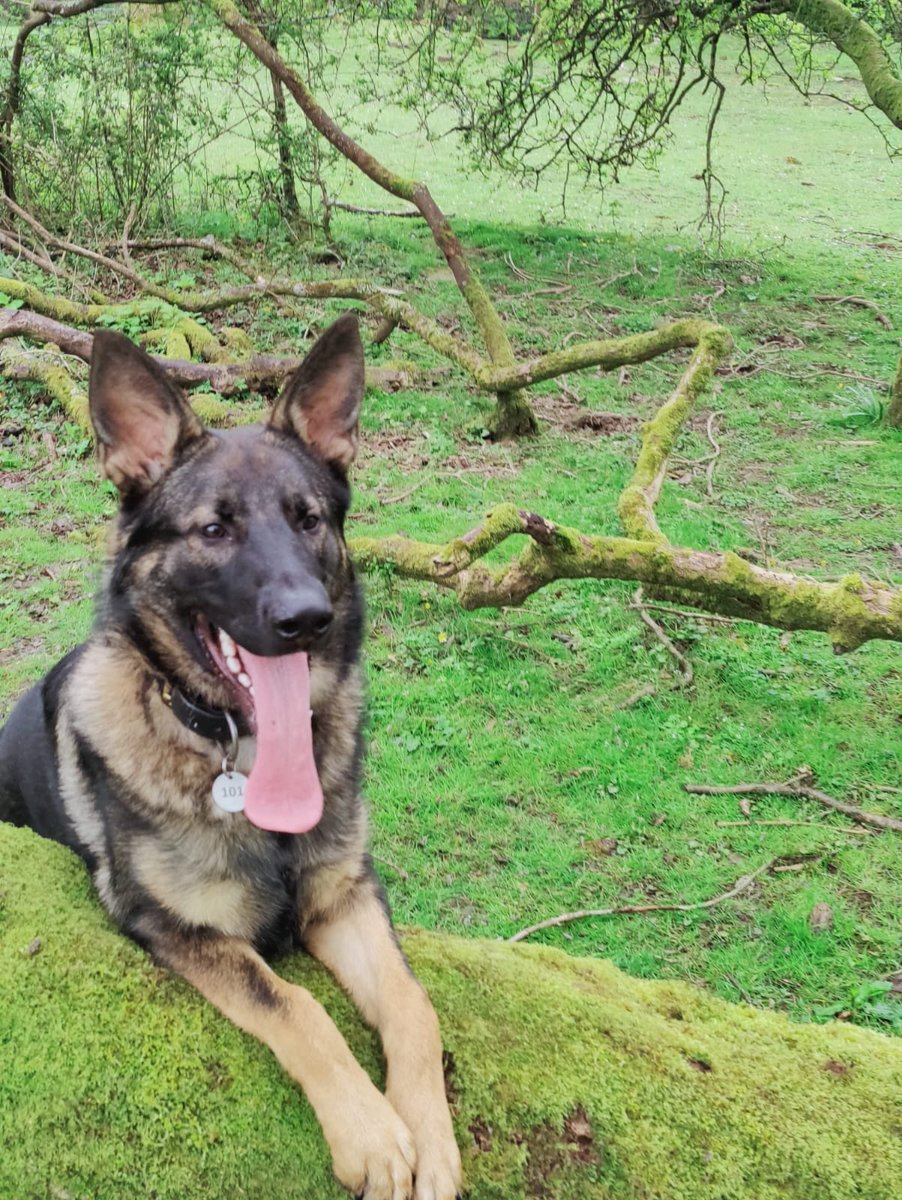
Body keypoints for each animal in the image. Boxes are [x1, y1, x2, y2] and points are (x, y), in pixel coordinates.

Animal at [0, 316, 460, 1200]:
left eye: (309, 519)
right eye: (214, 530)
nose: (306, 619)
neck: (241, 756)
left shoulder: (346, 896)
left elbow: (414, 1005)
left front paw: (429, 1135)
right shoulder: (175, 928)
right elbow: (292, 1004)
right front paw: (372, 1133)